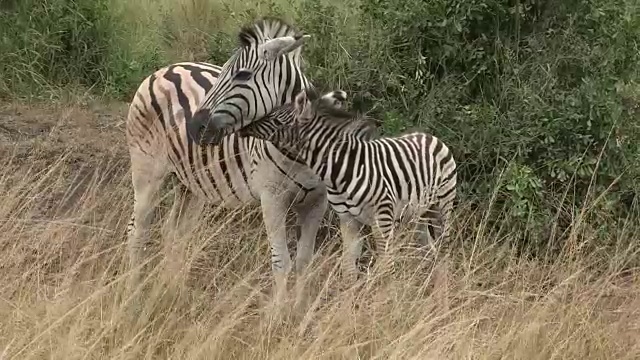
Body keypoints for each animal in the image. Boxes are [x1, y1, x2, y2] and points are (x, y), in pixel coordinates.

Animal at [238, 89, 458, 282]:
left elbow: (386, 267)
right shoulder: (348, 220)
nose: (243, 126)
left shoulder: (382, 218)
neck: (339, 170)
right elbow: (348, 269)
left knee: (444, 251)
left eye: (277, 120)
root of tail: (430, 136)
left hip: (442, 207)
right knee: (429, 250)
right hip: (417, 215)